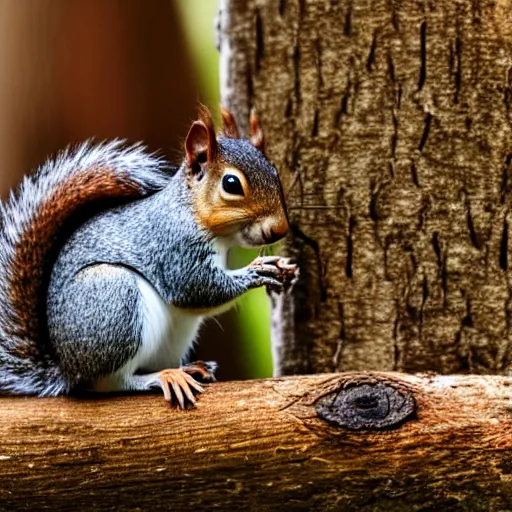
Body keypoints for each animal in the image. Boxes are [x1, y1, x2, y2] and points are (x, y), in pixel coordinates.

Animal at [0, 105, 298, 408]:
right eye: (231, 184)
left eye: (275, 171)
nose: (280, 228)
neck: (189, 210)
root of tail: (69, 371)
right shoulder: (174, 247)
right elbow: (196, 289)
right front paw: (257, 271)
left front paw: (283, 266)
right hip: (114, 300)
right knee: (111, 383)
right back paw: (162, 377)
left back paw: (190, 368)